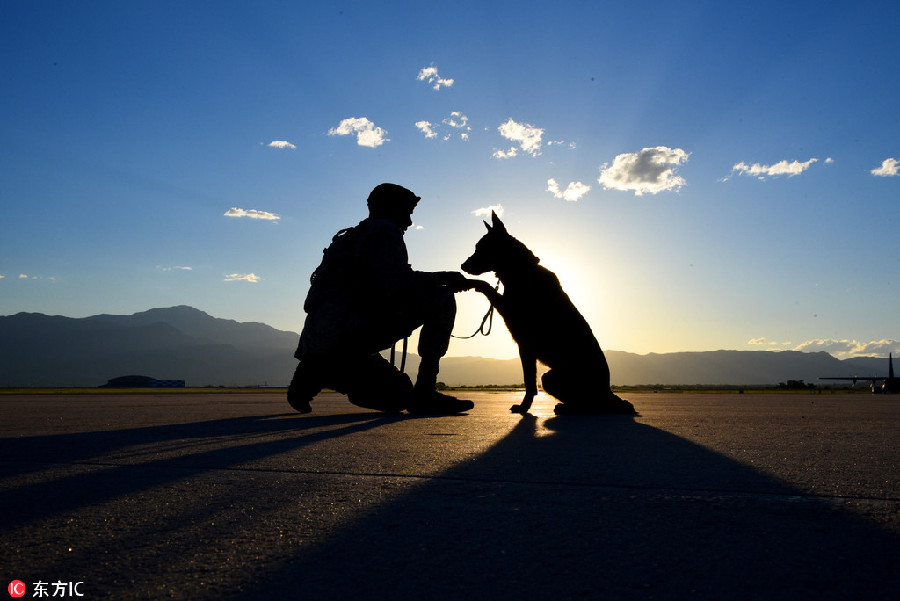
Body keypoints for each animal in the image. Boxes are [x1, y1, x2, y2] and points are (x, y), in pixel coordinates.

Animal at [460, 211, 636, 412]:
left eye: (481, 248)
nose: (462, 266)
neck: (521, 270)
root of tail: (609, 392)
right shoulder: (525, 347)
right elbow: (529, 382)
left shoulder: (512, 318)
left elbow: (486, 285)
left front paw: (524, 407)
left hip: (551, 377)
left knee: (589, 405)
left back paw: (567, 408)